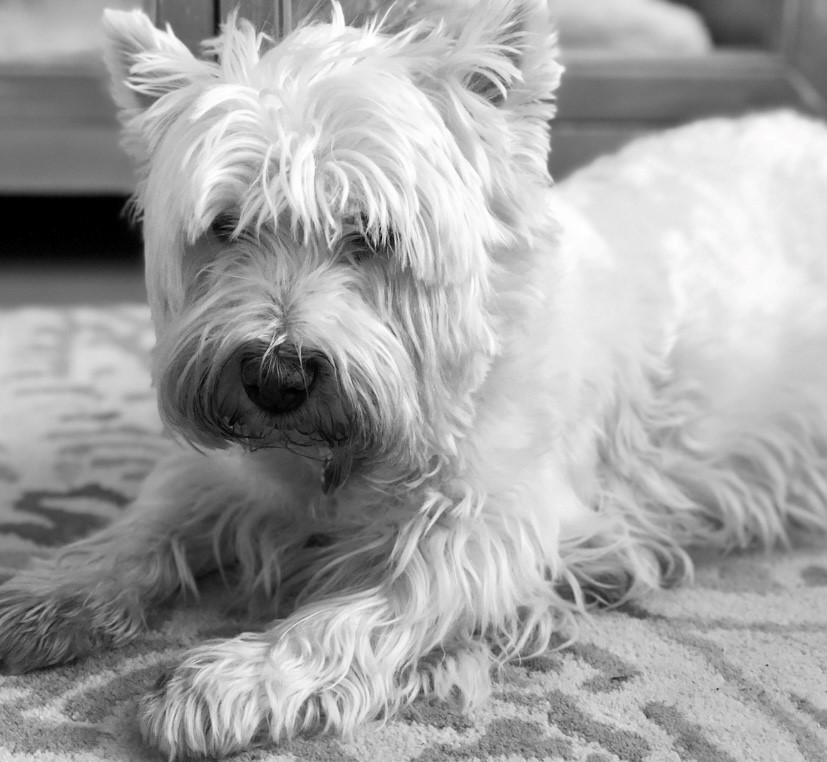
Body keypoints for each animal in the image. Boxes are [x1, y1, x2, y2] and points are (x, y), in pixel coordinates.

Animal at [1, 2, 827, 756]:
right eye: (226, 227)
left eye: (369, 235)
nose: (275, 378)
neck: (334, 460)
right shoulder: (226, 475)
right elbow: (148, 524)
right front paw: (50, 592)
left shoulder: (487, 528)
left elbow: (367, 608)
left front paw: (236, 680)